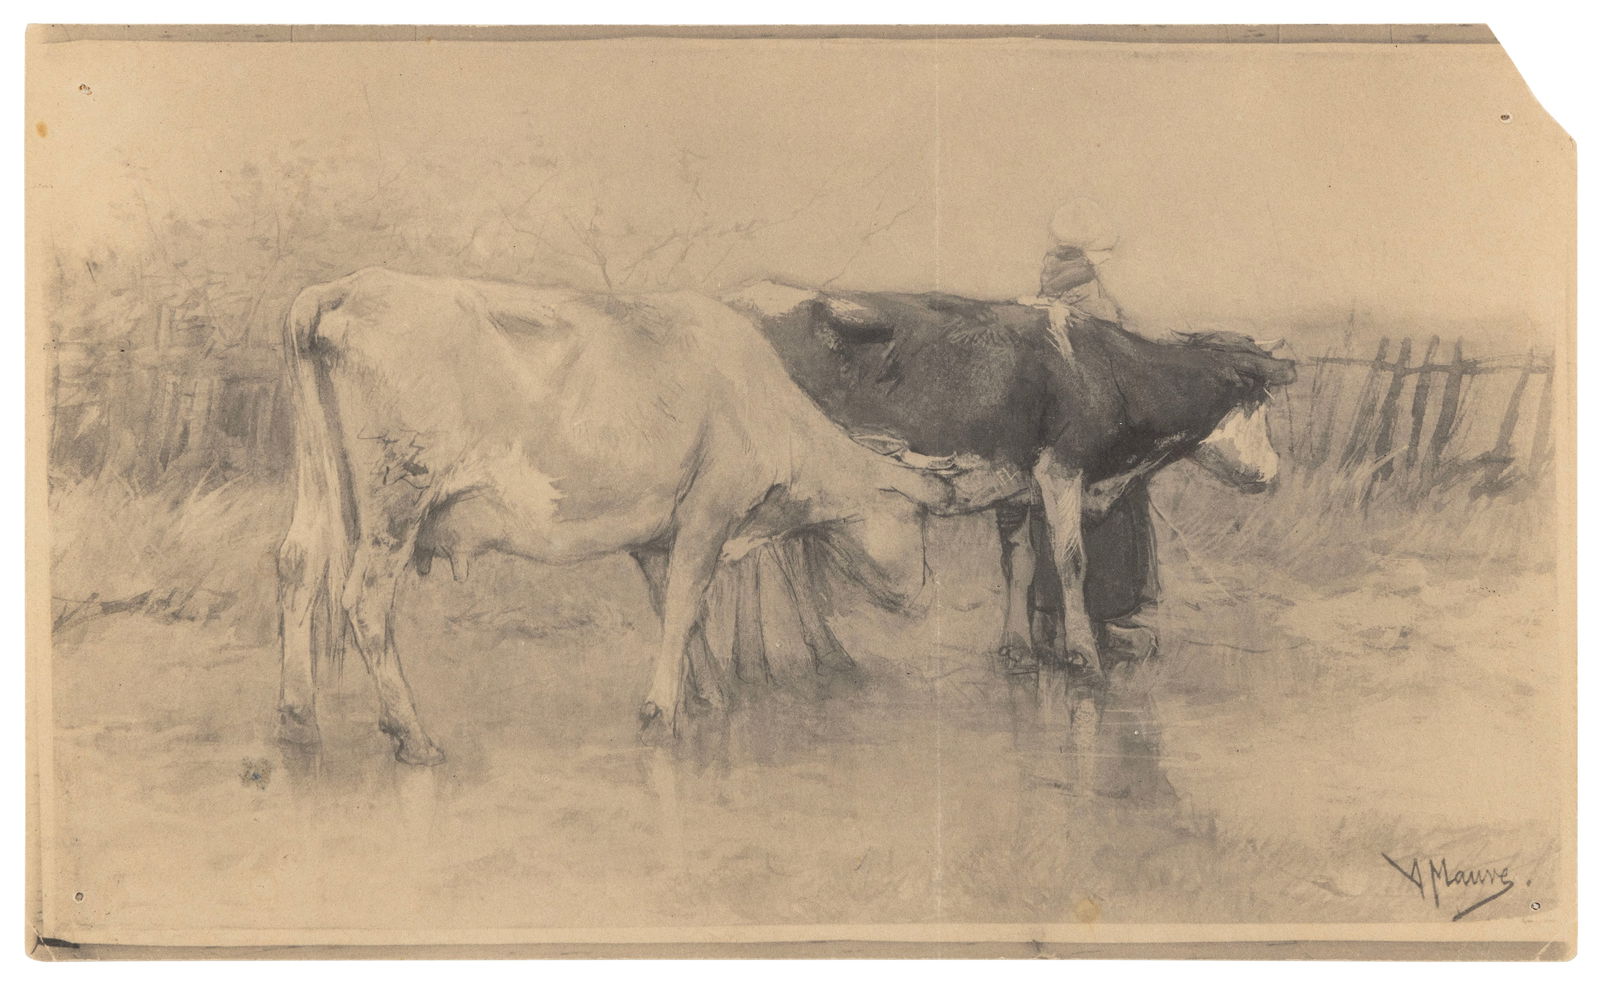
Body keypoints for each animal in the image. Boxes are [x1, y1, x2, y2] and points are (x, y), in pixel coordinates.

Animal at [274, 268, 957, 764]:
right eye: (917, 519)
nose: (924, 594)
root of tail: (345, 286)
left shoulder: (656, 535)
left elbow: (678, 610)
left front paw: (710, 694)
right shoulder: (710, 509)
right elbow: (684, 602)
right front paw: (662, 713)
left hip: (318, 485)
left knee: (298, 569)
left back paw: (298, 719)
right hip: (397, 497)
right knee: (363, 599)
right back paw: (412, 736)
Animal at [720, 283, 1296, 680]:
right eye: (1258, 398)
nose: (1270, 473)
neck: (1105, 369)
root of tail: (746, 295)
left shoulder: (1017, 484)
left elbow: (1019, 564)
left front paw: (1018, 650)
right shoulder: (1062, 468)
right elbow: (1070, 561)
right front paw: (1084, 657)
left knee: (769, 556)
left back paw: (777, 661)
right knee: (778, 559)